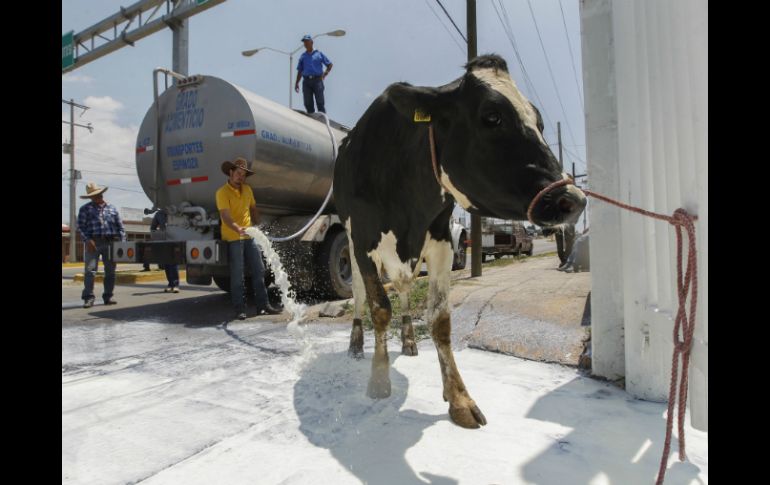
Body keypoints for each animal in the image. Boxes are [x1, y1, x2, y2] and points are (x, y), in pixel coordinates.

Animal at [332, 54, 584, 430]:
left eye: (539, 122)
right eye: (492, 116)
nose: (574, 199)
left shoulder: (440, 239)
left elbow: (439, 318)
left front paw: (459, 399)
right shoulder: (363, 240)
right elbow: (379, 308)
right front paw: (378, 382)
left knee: (404, 287)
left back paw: (409, 341)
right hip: (350, 240)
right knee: (362, 295)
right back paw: (355, 344)